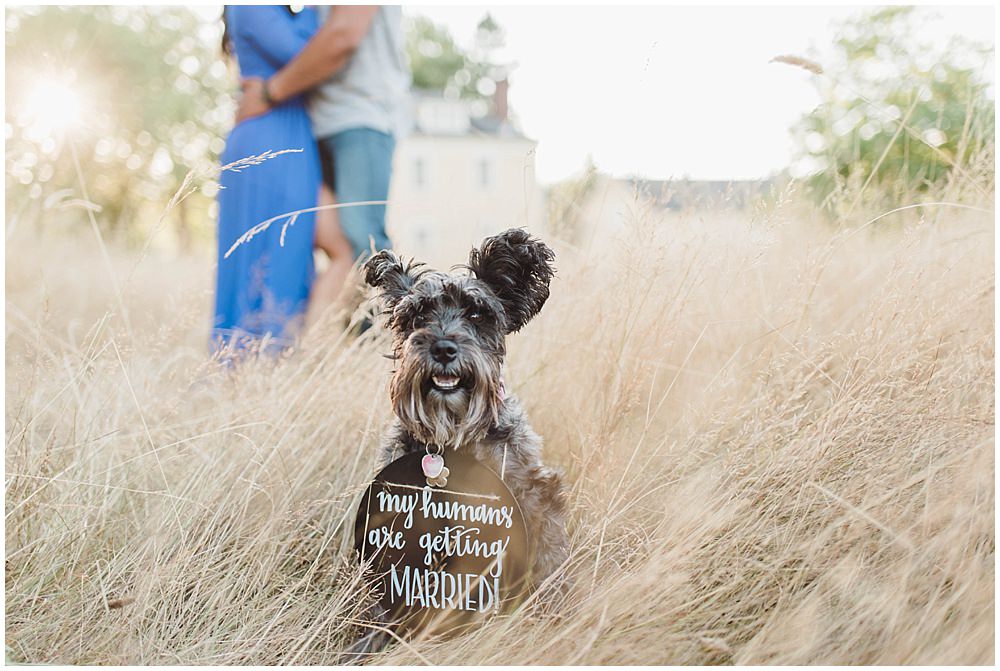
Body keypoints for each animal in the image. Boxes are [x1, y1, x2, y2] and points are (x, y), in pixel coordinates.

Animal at [362, 227, 568, 600]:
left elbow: (549, 557)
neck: (453, 432)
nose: (444, 349)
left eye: (476, 314)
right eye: (418, 316)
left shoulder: (534, 492)